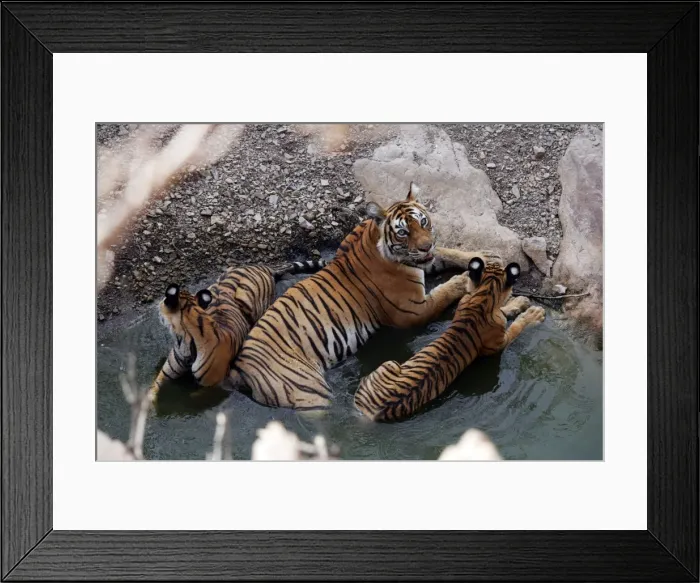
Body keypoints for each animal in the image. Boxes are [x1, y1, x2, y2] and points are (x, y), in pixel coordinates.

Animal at [149, 259, 326, 404]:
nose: (158, 304)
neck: (185, 341)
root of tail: (263, 267)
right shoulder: (166, 373)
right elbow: (153, 388)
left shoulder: (212, 385)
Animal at [230, 182, 502, 411]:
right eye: (403, 232)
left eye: (424, 222)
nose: (426, 246)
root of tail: (241, 367)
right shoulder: (414, 311)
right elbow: (445, 291)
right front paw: (465, 277)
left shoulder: (424, 261)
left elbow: (448, 252)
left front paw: (485, 256)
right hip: (309, 391)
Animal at [353, 257, 546, 422]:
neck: (484, 295)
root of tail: (369, 413)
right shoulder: (498, 344)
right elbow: (515, 326)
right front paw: (533, 312)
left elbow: (504, 310)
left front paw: (519, 302)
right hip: (391, 363)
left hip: (389, 364)